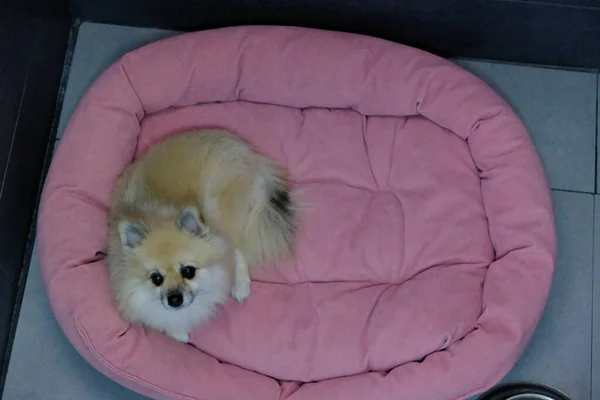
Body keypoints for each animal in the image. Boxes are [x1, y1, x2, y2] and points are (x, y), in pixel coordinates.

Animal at [108, 130, 298, 342]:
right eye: (156, 278)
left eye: (189, 271)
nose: (174, 299)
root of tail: (247, 152)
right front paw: (177, 333)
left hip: (221, 212)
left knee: (240, 248)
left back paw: (241, 286)